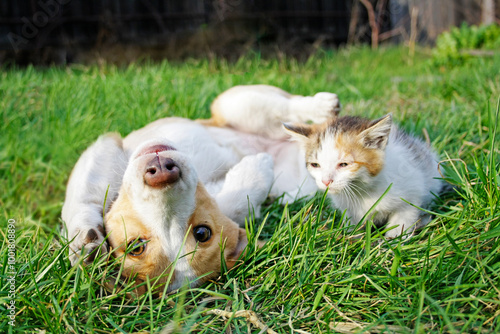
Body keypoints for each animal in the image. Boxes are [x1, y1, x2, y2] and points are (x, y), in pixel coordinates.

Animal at [61, 85, 340, 294]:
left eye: (202, 234)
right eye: (135, 247)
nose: (163, 174)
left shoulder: (105, 146)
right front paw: (85, 243)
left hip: (238, 104)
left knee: (289, 106)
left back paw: (322, 105)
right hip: (299, 186)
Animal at [284, 115, 444, 237]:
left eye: (344, 164)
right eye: (315, 165)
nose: (326, 181)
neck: (364, 190)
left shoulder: (412, 193)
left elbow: (402, 220)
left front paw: (392, 244)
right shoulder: (348, 208)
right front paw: (352, 238)